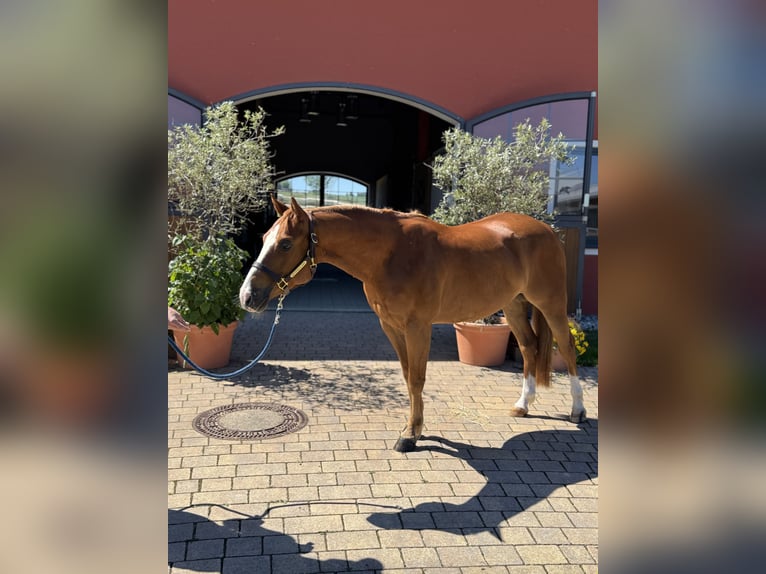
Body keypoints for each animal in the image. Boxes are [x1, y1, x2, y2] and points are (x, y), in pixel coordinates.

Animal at [239, 196, 586, 452]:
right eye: (264, 238)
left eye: (285, 244)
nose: (247, 296)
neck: (391, 254)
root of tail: (547, 230)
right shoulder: (391, 326)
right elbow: (408, 378)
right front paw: (414, 428)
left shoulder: (418, 327)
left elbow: (418, 379)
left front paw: (410, 435)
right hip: (513, 304)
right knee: (528, 346)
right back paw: (523, 405)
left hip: (551, 304)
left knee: (567, 347)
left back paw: (577, 410)